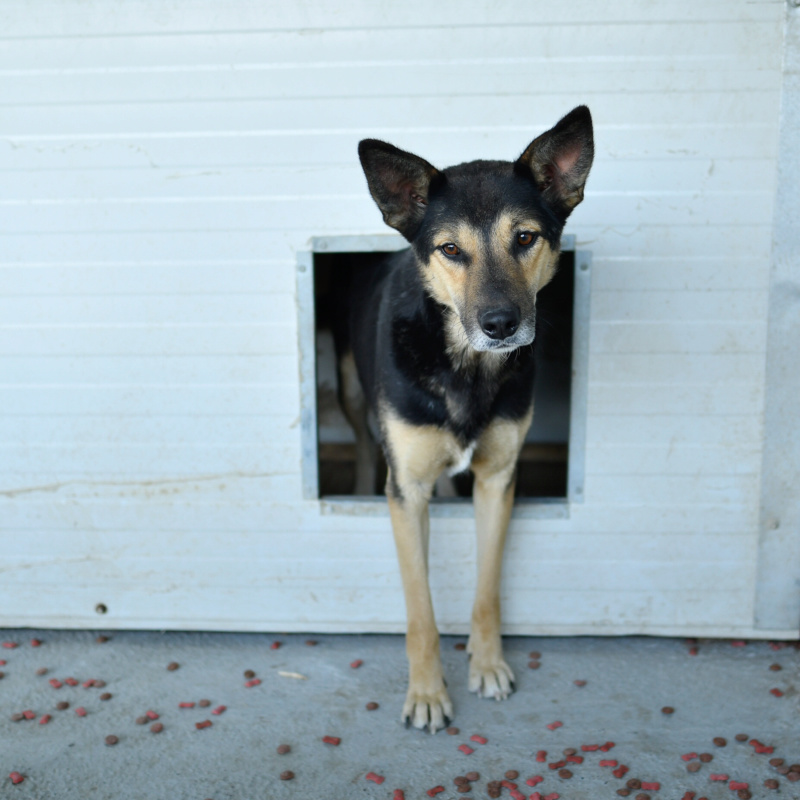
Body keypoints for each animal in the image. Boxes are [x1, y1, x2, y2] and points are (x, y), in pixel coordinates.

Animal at [336, 104, 592, 732]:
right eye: (451, 250)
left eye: (524, 238)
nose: (500, 325)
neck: (467, 367)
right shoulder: (406, 492)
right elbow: (421, 611)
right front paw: (428, 693)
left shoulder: (498, 479)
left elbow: (487, 589)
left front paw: (488, 663)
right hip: (353, 391)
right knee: (363, 443)